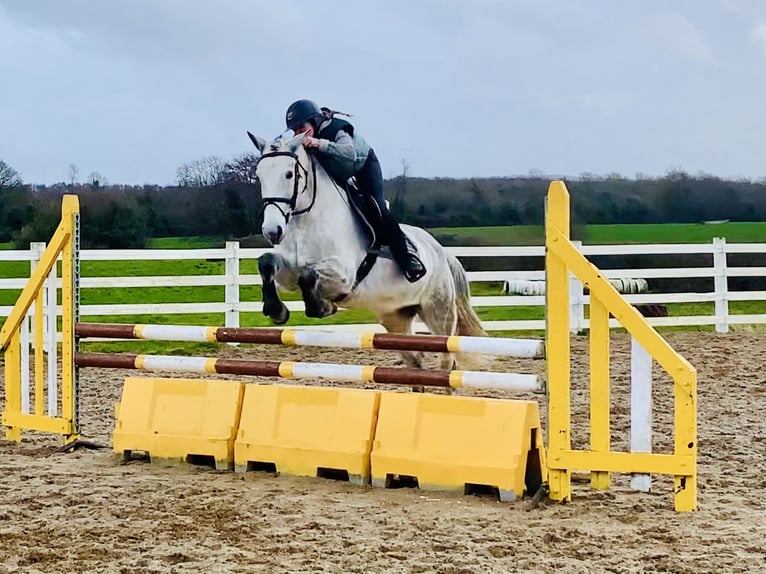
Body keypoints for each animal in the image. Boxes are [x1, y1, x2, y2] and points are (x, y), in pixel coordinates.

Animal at [250, 131, 489, 371]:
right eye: (259, 176)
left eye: (289, 174)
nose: (272, 231)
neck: (305, 223)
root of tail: (440, 251)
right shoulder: (287, 275)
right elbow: (268, 262)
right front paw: (276, 309)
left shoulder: (343, 276)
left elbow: (308, 275)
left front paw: (320, 306)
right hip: (395, 317)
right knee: (415, 360)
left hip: (439, 311)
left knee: (447, 358)